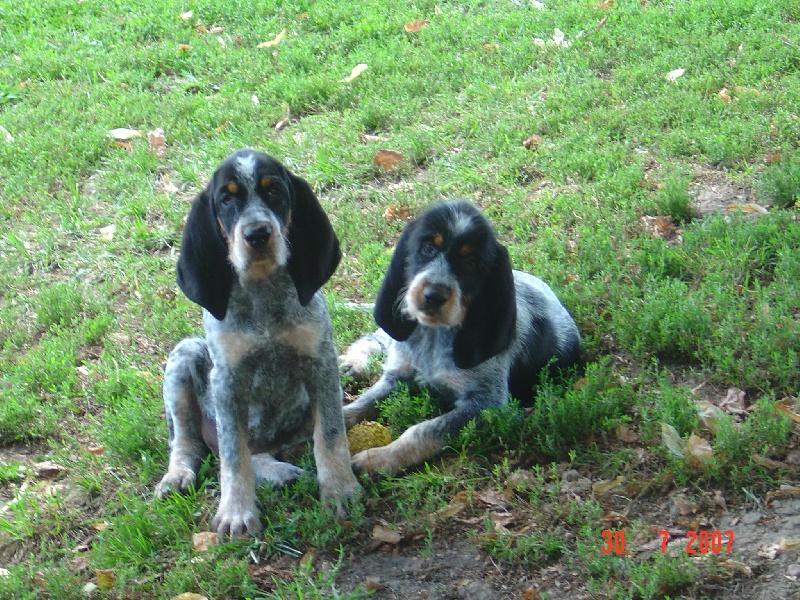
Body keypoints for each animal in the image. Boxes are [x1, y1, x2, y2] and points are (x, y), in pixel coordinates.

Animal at [155, 148, 358, 536]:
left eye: (274, 191)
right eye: (227, 199)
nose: (258, 234)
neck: (263, 291)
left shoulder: (321, 363)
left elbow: (330, 436)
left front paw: (340, 489)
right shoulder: (228, 381)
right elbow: (234, 457)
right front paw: (236, 511)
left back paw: (278, 470)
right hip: (185, 356)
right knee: (189, 441)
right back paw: (179, 474)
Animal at [342, 199, 580, 476]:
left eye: (472, 262)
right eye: (427, 248)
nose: (433, 296)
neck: (434, 336)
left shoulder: (485, 404)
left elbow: (422, 430)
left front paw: (378, 458)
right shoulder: (397, 377)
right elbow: (361, 403)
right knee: (377, 336)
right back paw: (354, 362)